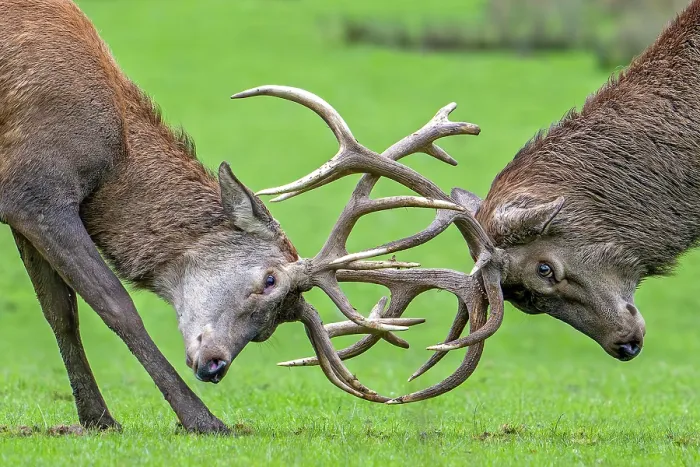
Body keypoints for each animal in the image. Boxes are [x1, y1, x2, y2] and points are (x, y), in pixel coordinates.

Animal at [1, 0, 507, 433]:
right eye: (269, 279)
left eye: (267, 333)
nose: (216, 366)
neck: (115, 154)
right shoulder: (36, 188)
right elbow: (115, 305)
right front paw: (202, 421)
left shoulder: (23, 204)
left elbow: (61, 314)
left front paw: (96, 419)